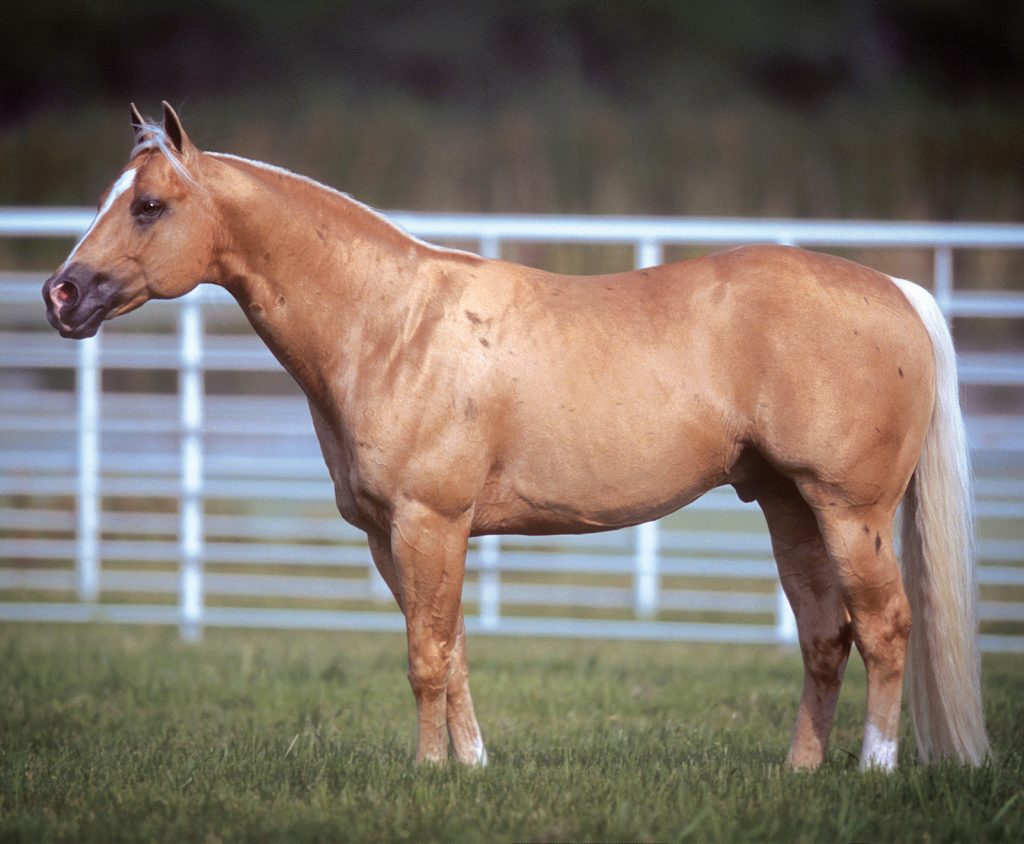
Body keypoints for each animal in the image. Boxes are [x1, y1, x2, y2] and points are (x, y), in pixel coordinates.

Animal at [43, 102, 989, 770]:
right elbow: (452, 649)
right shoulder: (401, 536)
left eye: (150, 206)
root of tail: (899, 291)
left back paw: (874, 769)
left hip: (848, 511)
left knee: (886, 627)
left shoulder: (428, 523)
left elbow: (426, 656)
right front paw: (470, 768)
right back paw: (799, 772)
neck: (392, 325)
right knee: (825, 636)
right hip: (790, 508)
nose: (61, 294)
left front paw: (427, 774)